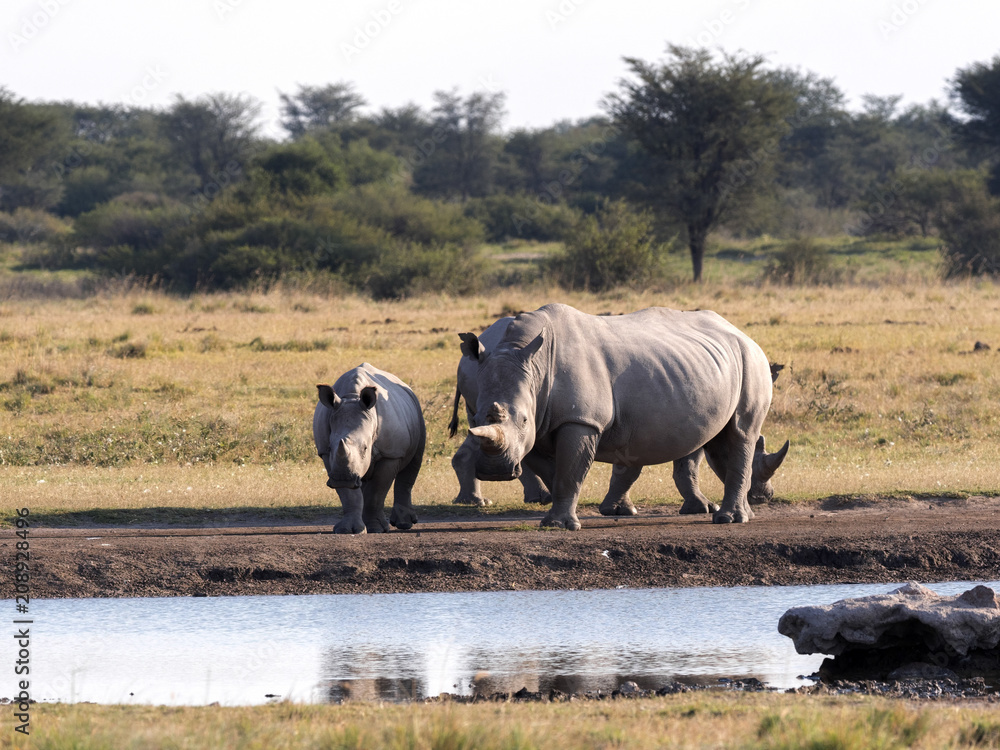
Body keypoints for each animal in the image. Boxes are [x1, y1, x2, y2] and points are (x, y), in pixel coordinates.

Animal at [314, 363, 424, 534]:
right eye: (331, 447)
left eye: (366, 448)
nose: (342, 479)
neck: (352, 397)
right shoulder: (327, 455)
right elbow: (349, 495)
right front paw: (348, 530)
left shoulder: (390, 454)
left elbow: (377, 490)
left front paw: (376, 529)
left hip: (417, 413)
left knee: (414, 462)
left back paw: (404, 524)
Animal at [462, 303, 780, 527]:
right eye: (475, 420)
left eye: (524, 420)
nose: (494, 471)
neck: (534, 365)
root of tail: (743, 334)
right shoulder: (542, 424)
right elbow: (556, 469)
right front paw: (560, 511)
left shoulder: (581, 420)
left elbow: (570, 469)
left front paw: (559, 524)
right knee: (720, 439)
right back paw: (744, 513)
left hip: (752, 360)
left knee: (740, 432)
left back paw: (729, 518)